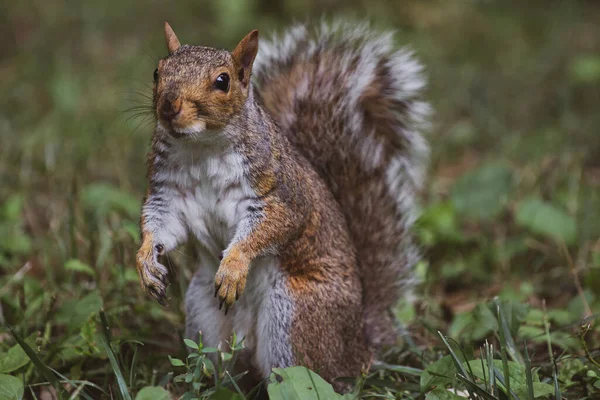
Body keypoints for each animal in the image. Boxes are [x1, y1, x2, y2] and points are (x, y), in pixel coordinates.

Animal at [137, 20, 426, 390]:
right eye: (157, 71)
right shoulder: (169, 194)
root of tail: (359, 346)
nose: (169, 106)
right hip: (204, 315)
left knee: (304, 376)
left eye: (222, 81)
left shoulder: (281, 194)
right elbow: (162, 224)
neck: (201, 148)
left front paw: (234, 267)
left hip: (293, 316)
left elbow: (273, 226)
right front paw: (146, 263)